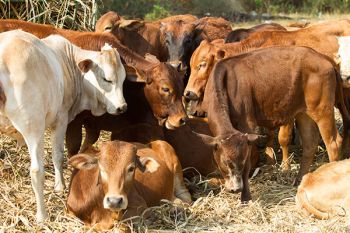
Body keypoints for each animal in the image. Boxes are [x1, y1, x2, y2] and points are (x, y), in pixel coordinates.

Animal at [0, 30, 127, 221]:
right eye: (107, 79)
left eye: (123, 79)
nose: (122, 107)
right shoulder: (60, 119)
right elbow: (58, 156)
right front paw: (60, 186)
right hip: (34, 127)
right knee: (36, 170)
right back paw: (42, 215)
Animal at [193, 46, 348, 202]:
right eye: (225, 162)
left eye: (241, 161)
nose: (235, 189)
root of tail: (324, 58)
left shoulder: (247, 125)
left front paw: (246, 197)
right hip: (304, 113)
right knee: (310, 145)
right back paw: (298, 180)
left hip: (322, 110)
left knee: (333, 143)